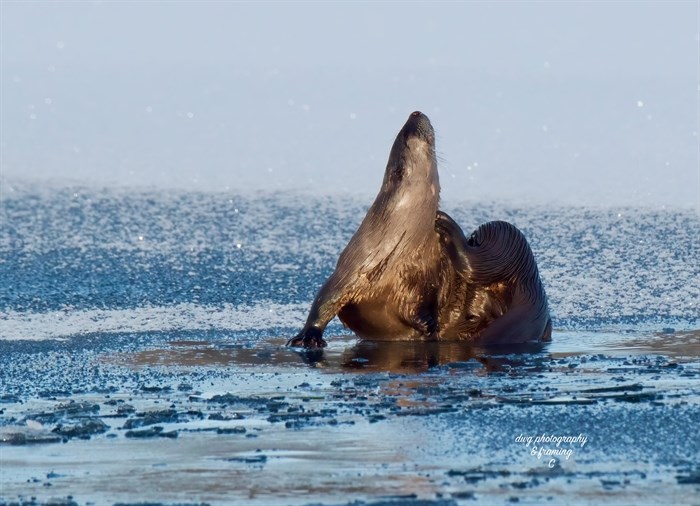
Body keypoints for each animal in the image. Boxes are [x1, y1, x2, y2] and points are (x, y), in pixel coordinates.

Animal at [288, 110, 548, 348]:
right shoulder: (353, 266)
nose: (415, 113)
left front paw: (429, 324)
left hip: (508, 240)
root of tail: (535, 296)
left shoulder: (427, 277)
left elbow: (424, 304)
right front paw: (307, 337)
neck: (402, 242)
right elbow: (326, 300)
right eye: (404, 132)